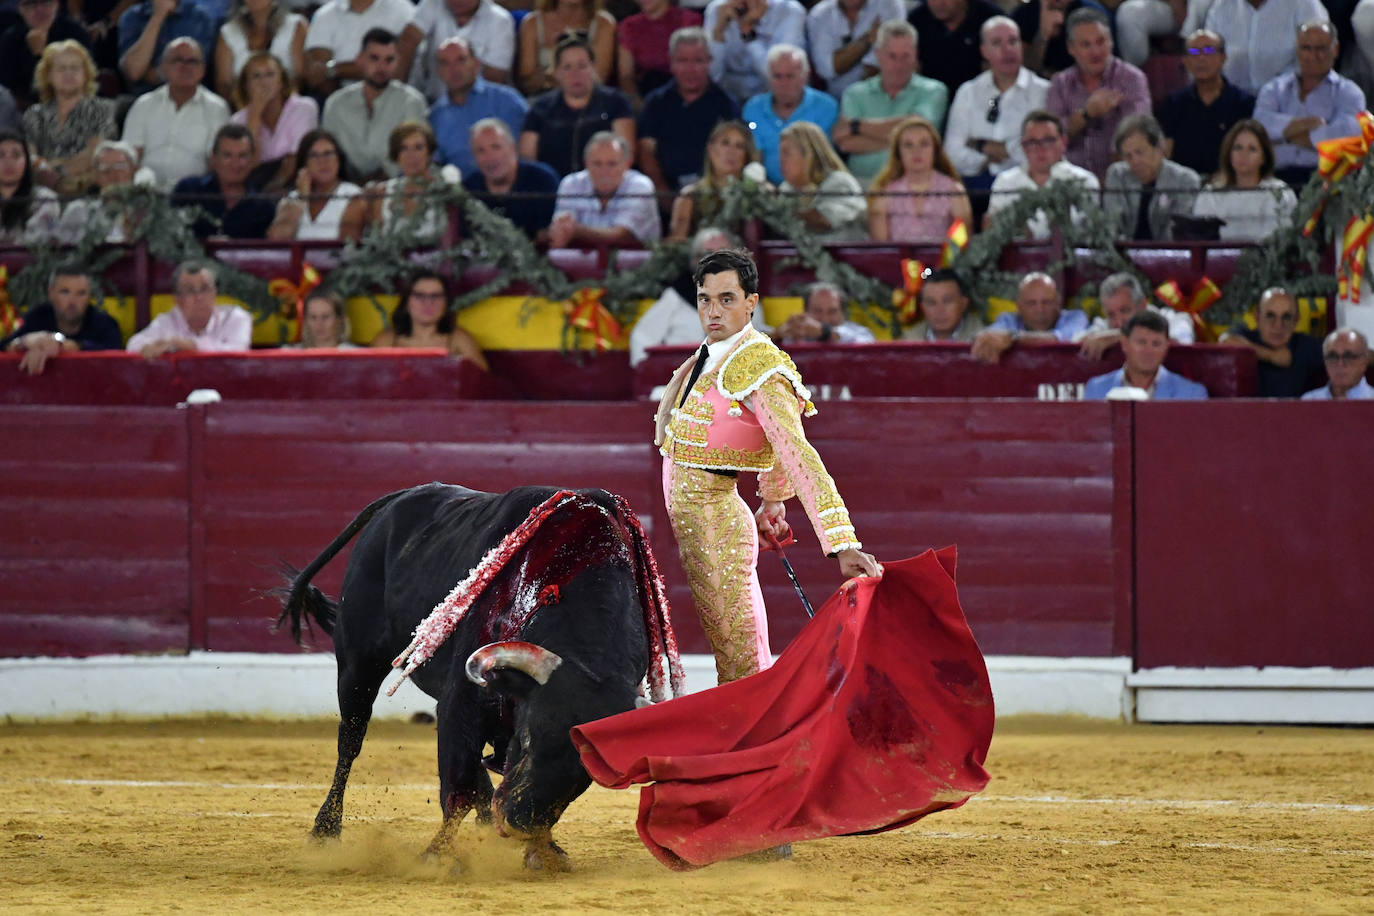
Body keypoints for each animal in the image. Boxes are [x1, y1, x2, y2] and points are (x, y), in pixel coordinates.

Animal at [274, 483, 681, 873]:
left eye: (588, 769)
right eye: (528, 737)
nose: (518, 822)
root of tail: (399, 499)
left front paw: (544, 852)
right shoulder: (460, 703)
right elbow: (456, 790)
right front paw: (439, 857)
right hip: (358, 665)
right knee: (350, 742)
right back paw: (325, 831)